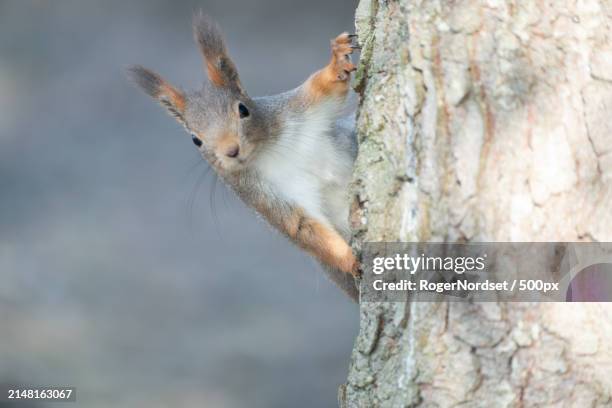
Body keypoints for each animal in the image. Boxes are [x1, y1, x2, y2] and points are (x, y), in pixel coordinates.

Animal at [128, 13, 358, 300]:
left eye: (243, 109)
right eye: (195, 139)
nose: (231, 151)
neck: (267, 151)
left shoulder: (296, 110)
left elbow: (324, 86)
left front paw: (338, 57)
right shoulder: (259, 192)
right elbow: (301, 227)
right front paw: (350, 258)